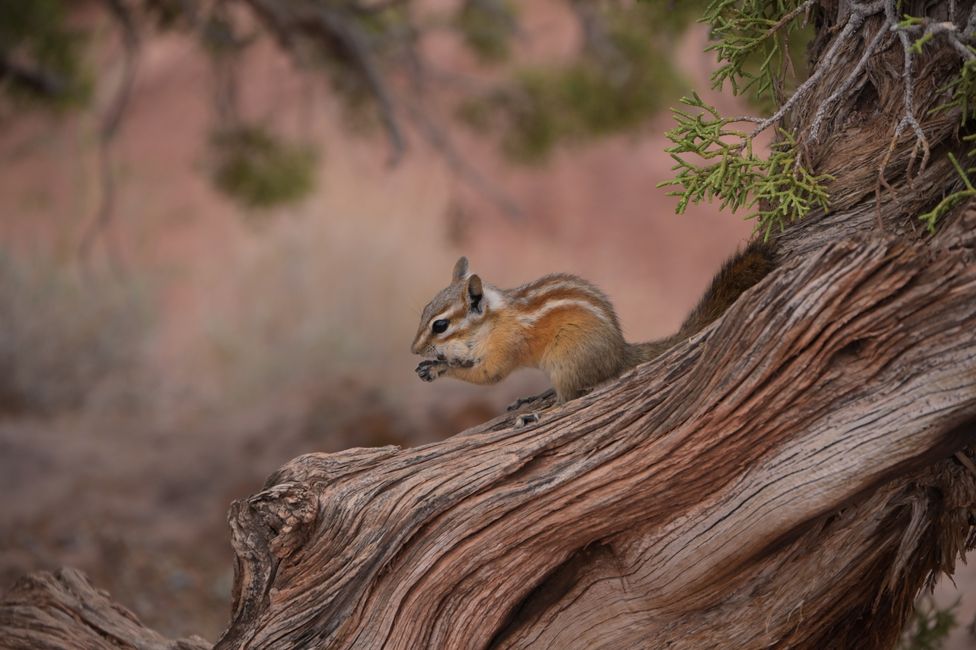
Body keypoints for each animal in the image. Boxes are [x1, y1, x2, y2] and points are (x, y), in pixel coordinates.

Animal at [411, 242, 775, 425]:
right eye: (424, 310)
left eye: (440, 325)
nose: (414, 349)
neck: (492, 321)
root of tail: (620, 352)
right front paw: (434, 364)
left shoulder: (504, 349)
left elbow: (487, 375)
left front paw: (438, 367)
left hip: (567, 359)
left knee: (570, 399)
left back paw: (539, 411)